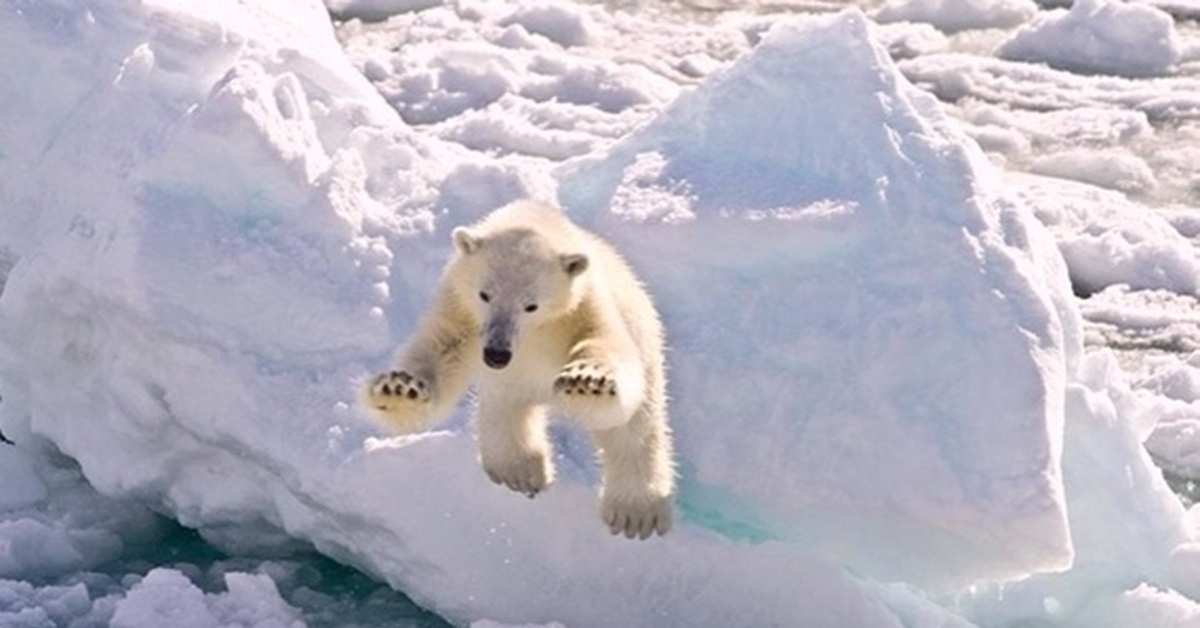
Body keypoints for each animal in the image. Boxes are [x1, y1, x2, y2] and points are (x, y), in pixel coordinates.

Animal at [360, 201, 676, 540]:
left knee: (635, 430)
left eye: (531, 305)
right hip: (508, 388)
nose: (497, 353)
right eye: (485, 294)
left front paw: (586, 381)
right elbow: (438, 350)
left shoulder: (584, 308)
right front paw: (399, 389)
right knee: (507, 411)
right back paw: (521, 470)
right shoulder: (460, 307)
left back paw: (636, 512)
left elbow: (606, 348)